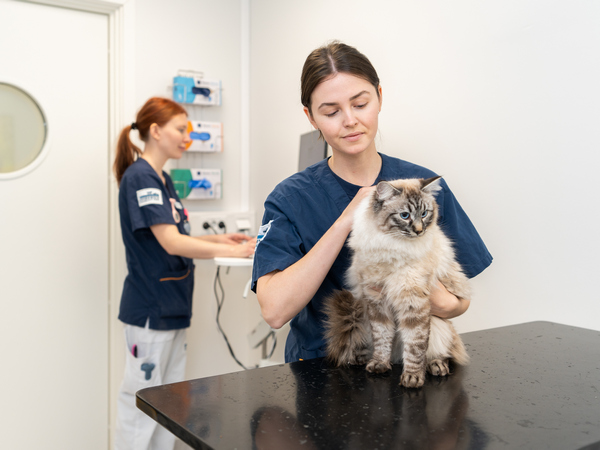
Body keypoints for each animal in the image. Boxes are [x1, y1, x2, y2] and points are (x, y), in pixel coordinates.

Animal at [326, 178, 472, 388]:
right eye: (405, 216)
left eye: (424, 214)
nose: (419, 231)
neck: (392, 245)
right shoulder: (376, 300)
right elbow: (382, 339)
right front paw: (379, 365)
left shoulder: (413, 301)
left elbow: (414, 347)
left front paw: (412, 378)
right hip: (360, 317)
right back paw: (360, 359)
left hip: (438, 325)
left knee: (438, 352)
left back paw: (437, 366)